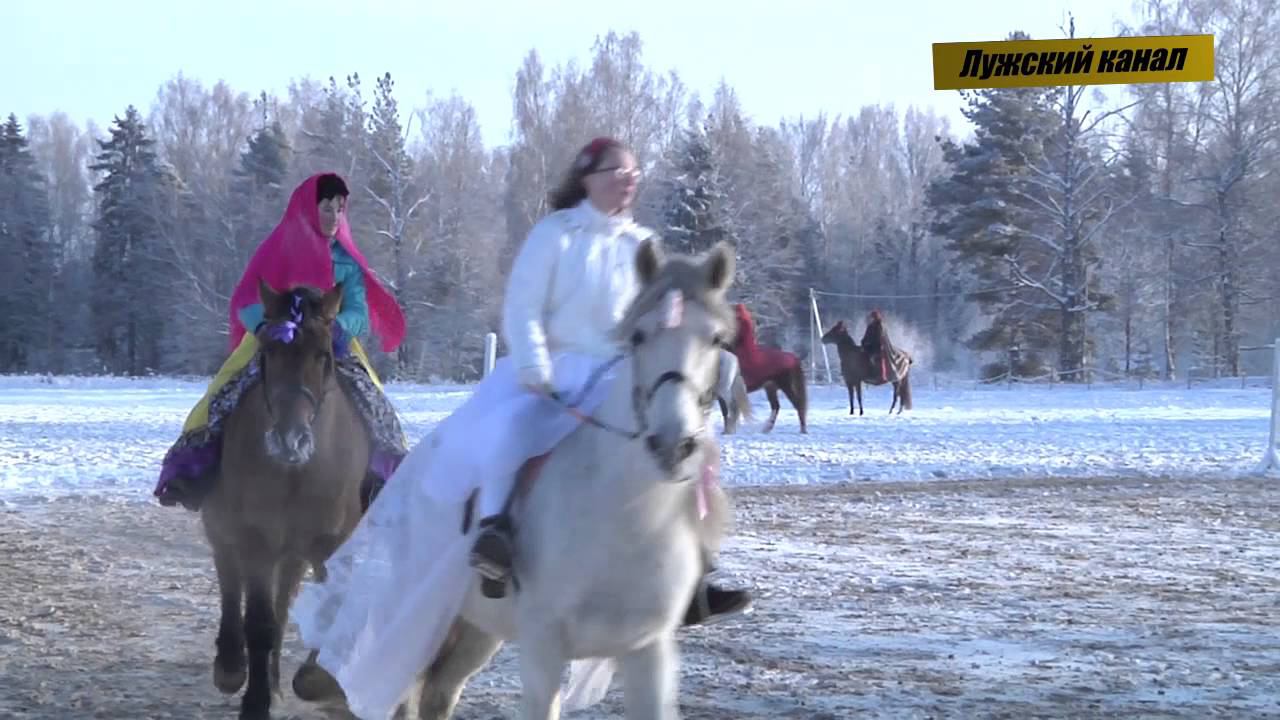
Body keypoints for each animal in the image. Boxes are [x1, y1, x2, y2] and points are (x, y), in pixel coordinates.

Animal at [199, 281, 371, 717]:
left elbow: (319, 614)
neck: (297, 472)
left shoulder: (330, 543)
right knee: (230, 582)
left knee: (282, 603)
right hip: (225, 531)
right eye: (268, 352)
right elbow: (258, 623)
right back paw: (230, 666)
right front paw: (256, 700)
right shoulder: (256, 541)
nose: (289, 440)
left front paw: (316, 680)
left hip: (293, 552)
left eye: (324, 355)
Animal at [732, 301, 808, 430]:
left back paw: (802, 430)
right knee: (776, 406)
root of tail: (792, 357)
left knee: (797, 404)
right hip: (771, 387)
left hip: (786, 386)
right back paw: (767, 429)